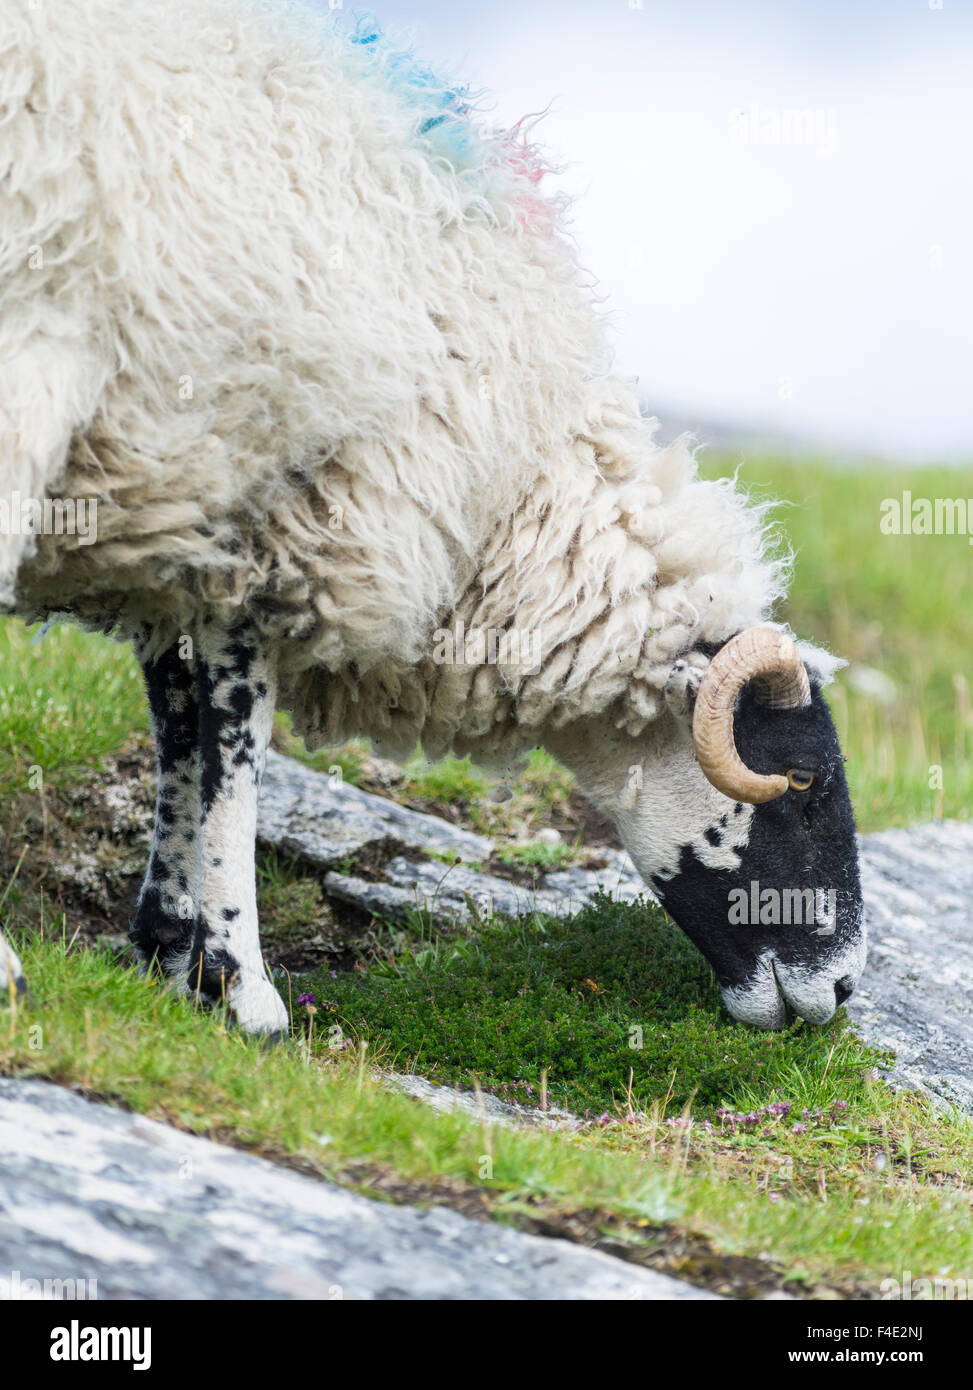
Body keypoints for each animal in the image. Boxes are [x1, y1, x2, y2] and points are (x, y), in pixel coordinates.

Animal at [0, 0, 867, 1034]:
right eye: (804, 782)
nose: (845, 988)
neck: (508, 490)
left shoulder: (200, 534)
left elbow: (179, 734)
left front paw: (173, 955)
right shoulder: (280, 524)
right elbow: (229, 750)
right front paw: (241, 988)